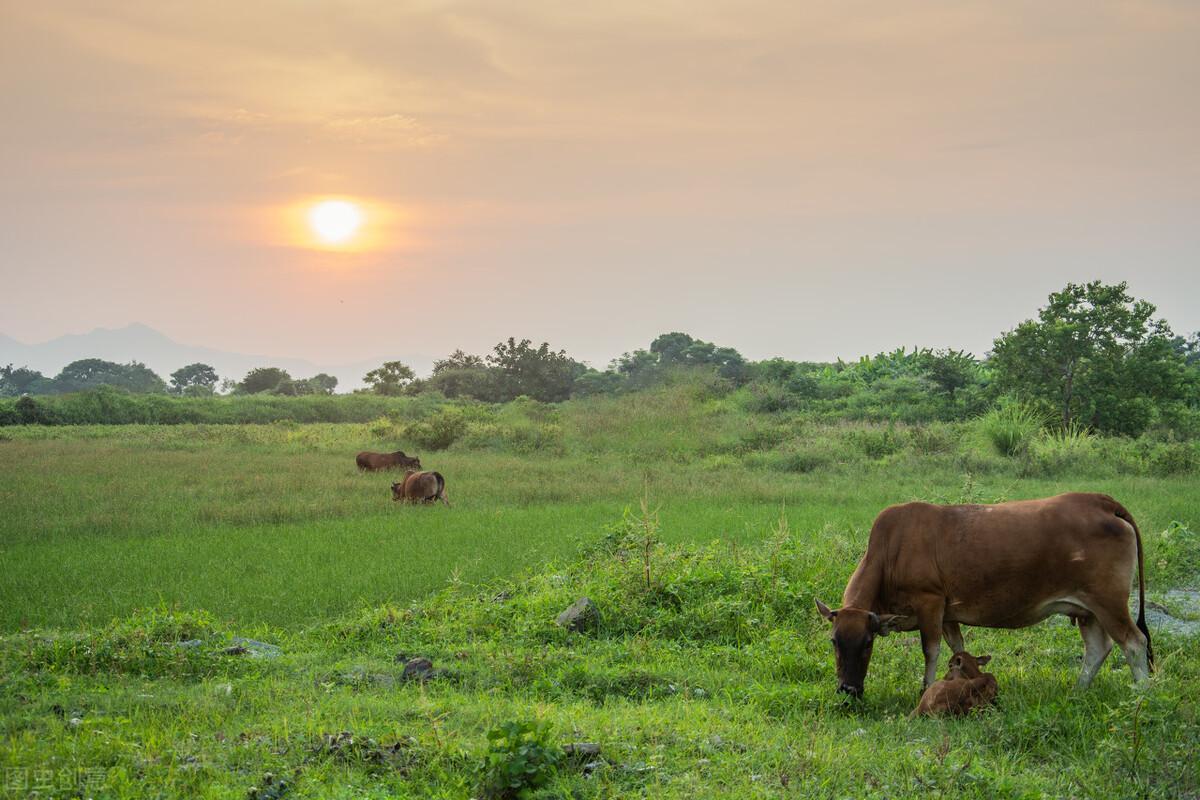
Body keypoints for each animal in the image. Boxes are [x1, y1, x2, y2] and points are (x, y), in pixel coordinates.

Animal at [816, 491, 1152, 695]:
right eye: (833, 641)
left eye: (867, 643)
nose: (847, 690)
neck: (890, 551)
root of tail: (1101, 502)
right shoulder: (948, 614)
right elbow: (957, 648)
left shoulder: (930, 603)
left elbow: (931, 650)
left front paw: (926, 689)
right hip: (1087, 610)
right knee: (1098, 648)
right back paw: (1078, 690)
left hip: (1109, 603)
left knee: (1134, 643)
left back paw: (1143, 694)